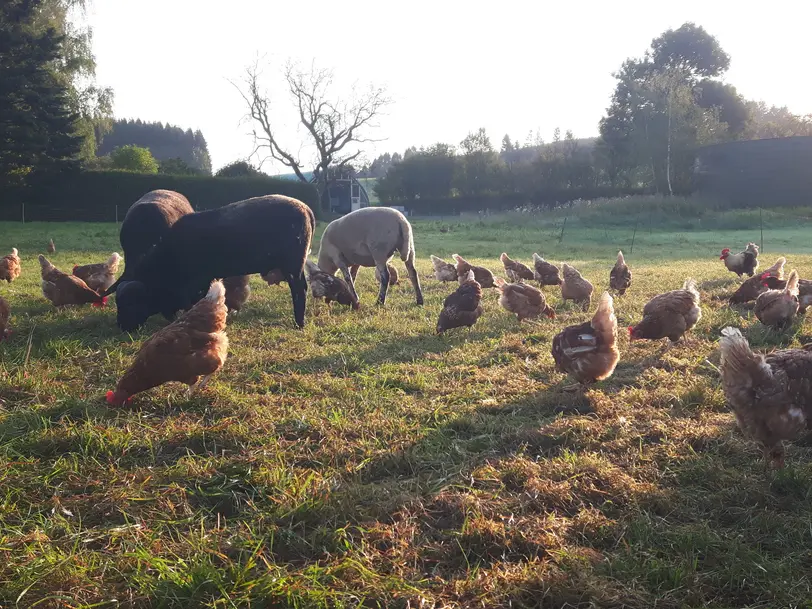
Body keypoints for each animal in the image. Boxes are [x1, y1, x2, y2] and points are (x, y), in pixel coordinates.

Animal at [116, 196, 316, 332]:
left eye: (131, 304)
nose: (121, 327)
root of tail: (306, 209)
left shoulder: (196, 282)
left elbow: (194, 302)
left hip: (293, 265)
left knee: (299, 291)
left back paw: (299, 323)